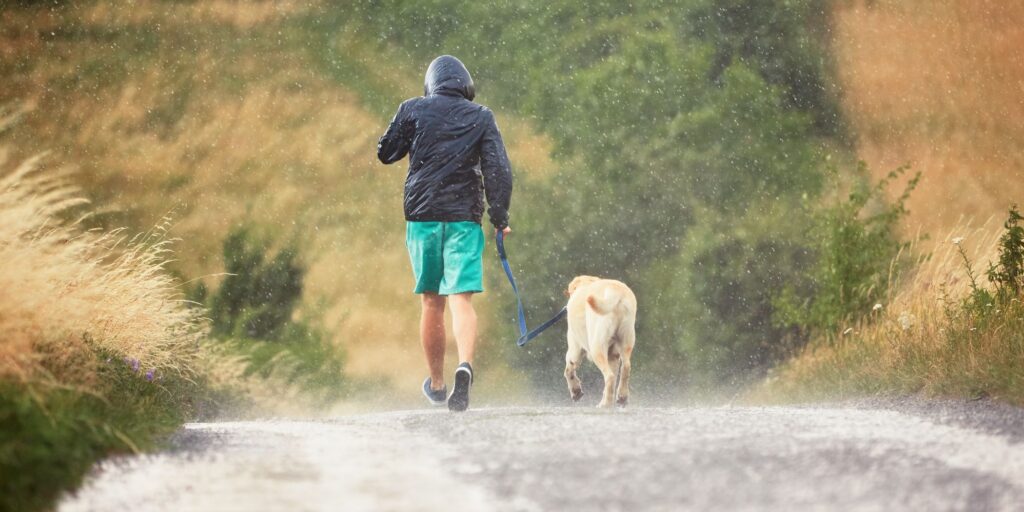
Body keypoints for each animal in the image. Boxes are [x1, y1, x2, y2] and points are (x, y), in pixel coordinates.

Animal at [565, 276, 634, 407]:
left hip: (596, 347)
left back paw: (605, 405)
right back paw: (621, 396)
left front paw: (576, 391)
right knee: (625, 367)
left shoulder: (575, 349)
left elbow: (568, 369)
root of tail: (615, 291)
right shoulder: (613, 355)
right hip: (626, 341)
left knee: (610, 376)